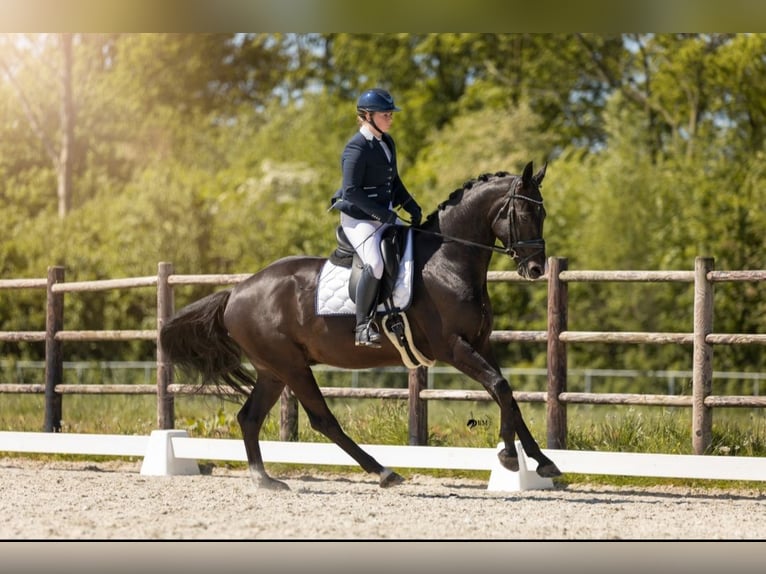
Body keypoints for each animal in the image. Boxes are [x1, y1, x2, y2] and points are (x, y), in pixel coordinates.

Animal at [159, 161, 560, 490]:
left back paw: (265, 480)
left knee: (249, 417)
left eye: (542, 213)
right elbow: (500, 387)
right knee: (322, 420)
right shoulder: (453, 347)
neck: (447, 261)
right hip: (291, 365)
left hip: (273, 370)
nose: (535, 268)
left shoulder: (481, 343)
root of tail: (237, 291)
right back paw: (383, 471)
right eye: (523, 212)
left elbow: (508, 395)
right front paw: (508, 457)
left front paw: (542, 462)